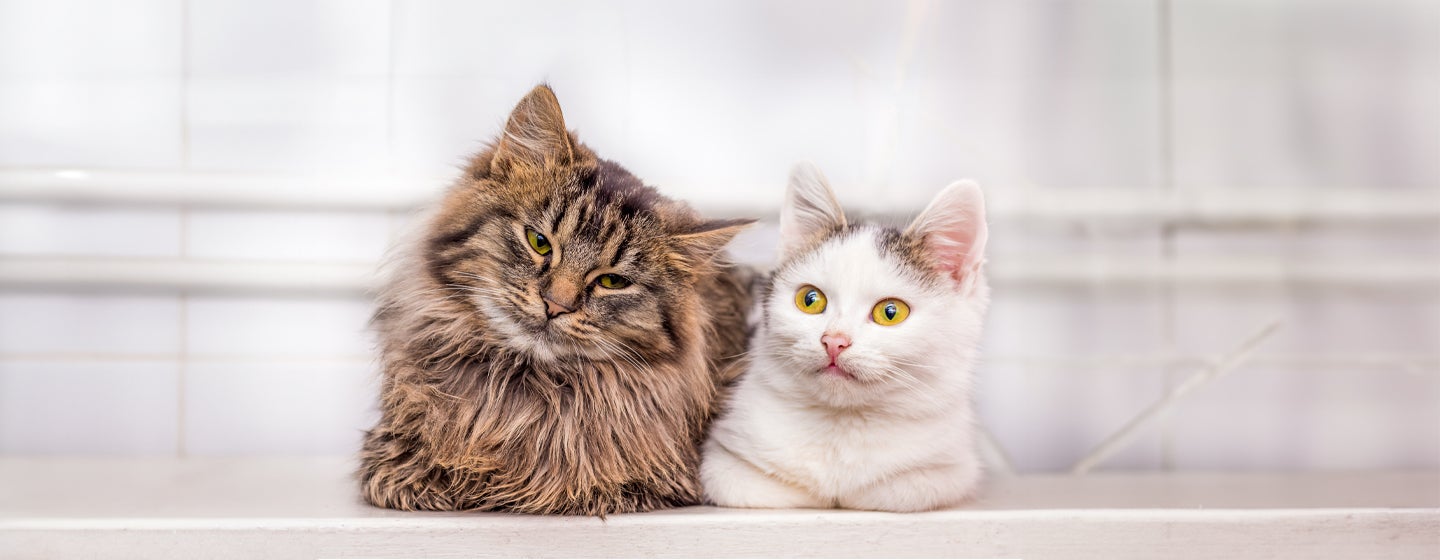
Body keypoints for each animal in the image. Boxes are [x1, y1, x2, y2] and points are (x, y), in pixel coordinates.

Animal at [359, 84, 755, 516]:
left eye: (612, 281)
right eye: (539, 242)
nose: (556, 305)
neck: (522, 382)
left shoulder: (660, 478)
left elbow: (565, 483)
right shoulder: (385, 453)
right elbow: (403, 468)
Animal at [701, 162, 989, 512]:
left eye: (891, 312)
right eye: (810, 299)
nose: (834, 340)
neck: (843, 423)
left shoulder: (955, 468)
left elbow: (898, 489)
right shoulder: (721, 461)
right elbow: (763, 488)